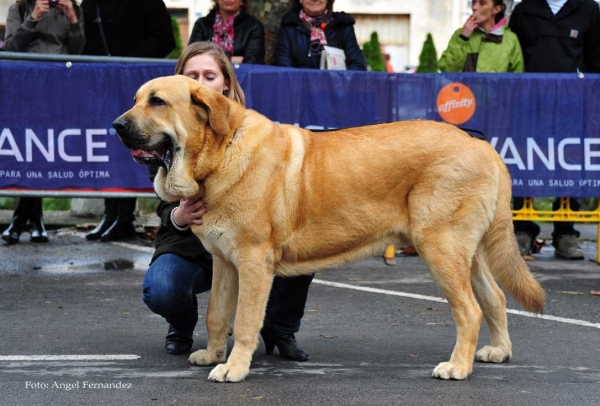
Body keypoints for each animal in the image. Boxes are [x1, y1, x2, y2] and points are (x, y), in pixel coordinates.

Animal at [111, 76, 544, 384]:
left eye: (157, 101)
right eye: (136, 99)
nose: (116, 124)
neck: (220, 153)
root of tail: (484, 148)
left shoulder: (253, 261)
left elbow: (246, 320)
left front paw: (233, 368)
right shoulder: (224, 263)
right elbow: (217, 315)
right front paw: (213, 355)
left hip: (441, 247)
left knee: (470, 309)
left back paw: (457, 367)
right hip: (468, 253)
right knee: (495, 298)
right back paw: (498, 351)